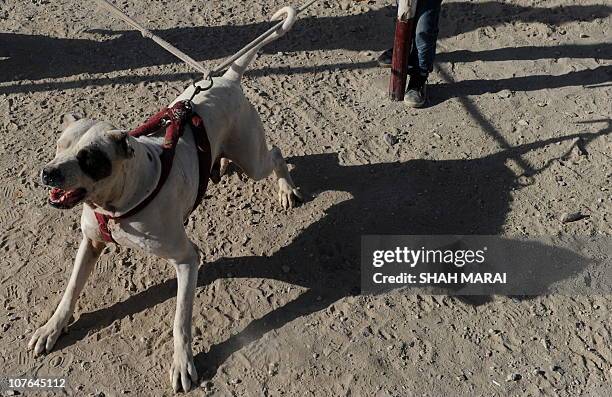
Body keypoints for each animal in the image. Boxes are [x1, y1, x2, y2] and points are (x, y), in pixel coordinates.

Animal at [28, 7, 302, 392]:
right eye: (59, 146)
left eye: (89, 159)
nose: (47, 173)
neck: (119, 203)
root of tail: (227, 79)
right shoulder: (90, 242)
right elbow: (70, 291)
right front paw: (51, 328)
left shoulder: (188, 260)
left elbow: (180, 322)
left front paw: (183, 362)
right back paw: (220, 163)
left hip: (255, 159)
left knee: (276, 154)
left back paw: (285, 188)